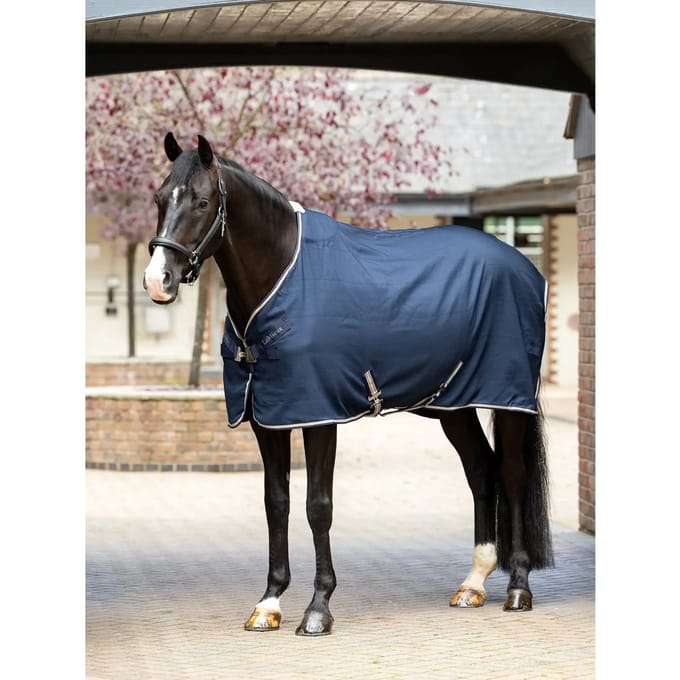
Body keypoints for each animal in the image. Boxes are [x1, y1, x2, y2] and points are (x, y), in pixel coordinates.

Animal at [143, 132, 553, 636]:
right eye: (160, 198)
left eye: (202, 201)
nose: (157, 280)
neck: (282, 277)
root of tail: (524, 268)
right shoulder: (266, 418)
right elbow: (276, 503)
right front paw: (269, 602)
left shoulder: (320, 415)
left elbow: (318, 506)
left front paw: (318, 608)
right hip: (453, 406)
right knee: (480, 471)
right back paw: (473, 583)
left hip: (508, 400)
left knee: (512, 476)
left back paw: (518, 588)